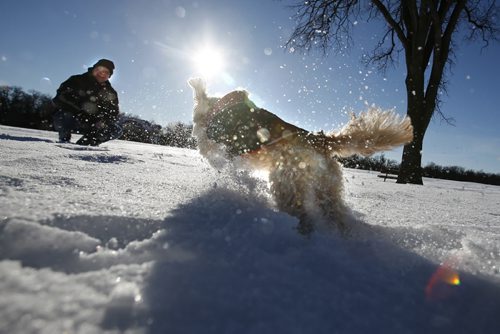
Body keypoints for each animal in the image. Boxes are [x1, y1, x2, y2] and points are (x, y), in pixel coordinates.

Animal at [189, 78, 412, 235]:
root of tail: (320, 141)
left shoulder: (216, 147)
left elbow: (215, 156)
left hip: (286, 184)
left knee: (303, 216)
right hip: (327, 190)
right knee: (335, 216)